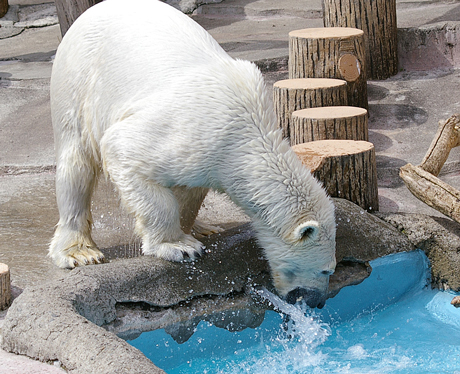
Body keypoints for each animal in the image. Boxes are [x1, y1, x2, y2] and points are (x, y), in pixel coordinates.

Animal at [49, 0, 338, 306]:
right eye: (326, 269)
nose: (316, 301)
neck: (248, 130)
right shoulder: (191, 132)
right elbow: (122, 148)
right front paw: (178, 246)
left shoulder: (208, 157)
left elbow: (190, 191)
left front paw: (188, 231)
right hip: (78, 79)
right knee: (76, 163)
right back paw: (79, 251)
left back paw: (206, 227)